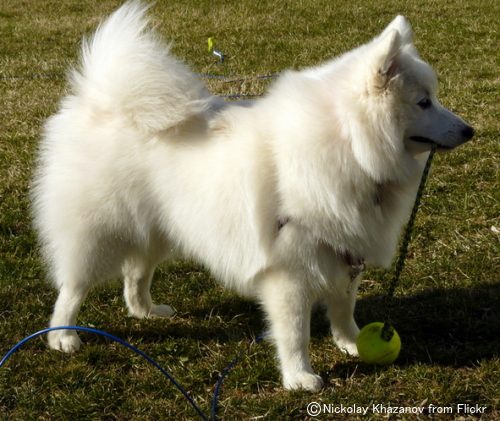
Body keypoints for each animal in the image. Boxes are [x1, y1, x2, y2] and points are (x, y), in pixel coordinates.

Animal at [32, 0, 472, 390]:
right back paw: (63, 336)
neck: (348, 146)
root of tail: (101, 100)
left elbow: (344, 306)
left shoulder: (345, 249)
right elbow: (294, 332)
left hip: (160, 226)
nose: (470, 130)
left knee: (135, 272)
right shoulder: (290, 272)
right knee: (73, 286)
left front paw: (351, 343)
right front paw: (299, 378)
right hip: (99, 232)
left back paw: (147, 311)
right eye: (423, 102)